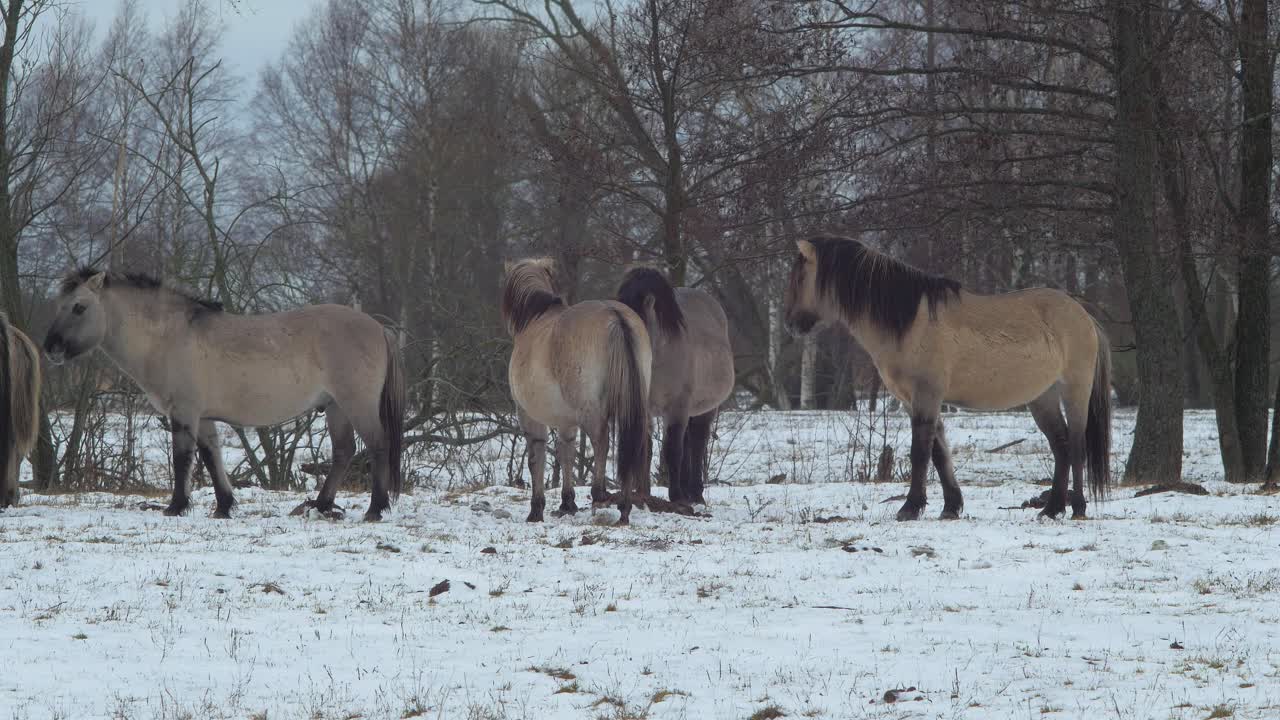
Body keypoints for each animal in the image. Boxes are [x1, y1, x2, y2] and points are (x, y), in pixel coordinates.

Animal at [43, 268, 405, 521]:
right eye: (58, 305)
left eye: (79, 307)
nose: (50, 348)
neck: (168, 336)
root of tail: (378, 327)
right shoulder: (203, 416)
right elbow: (211, 457)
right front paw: (223, 506)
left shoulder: (184, 412)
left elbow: (183, 459)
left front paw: (176, 506)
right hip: (335, 406)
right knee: (344, 451)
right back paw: (321, 505)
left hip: (355, 404)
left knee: (377, 446)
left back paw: (374, 509)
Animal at [502, 258, 651, 525]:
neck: (535, 318)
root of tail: (615, 315)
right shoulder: (566, 422)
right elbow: (567, 454)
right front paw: (567, 503)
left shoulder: (529, 416)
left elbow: (536, 458)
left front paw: (536, 510)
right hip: (635, 405)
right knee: (634, 444)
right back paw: (624, 507)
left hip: (589, 411)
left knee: (601, 440)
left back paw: (600, 493)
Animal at [616, 267, 734, 505]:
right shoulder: (645, 409)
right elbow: (646, 449)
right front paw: (643, 494)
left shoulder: (677, 408)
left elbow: (672, 451)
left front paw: (676, 496)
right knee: (688, 443)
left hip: (705, 409)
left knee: (697, 444)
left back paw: (695, 493)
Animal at [783, 235, 1111, 521]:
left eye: (800, 278)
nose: (790, 325)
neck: (910, 323)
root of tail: (1083, 314)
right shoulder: (912, 401)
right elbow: (939, 452)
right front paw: (950, 507)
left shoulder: (926, 395)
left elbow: (920, 452)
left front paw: (909, 508)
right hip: (1042, 397)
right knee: (1061, 446)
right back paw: (1052, 509)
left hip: (1075, 390)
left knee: (1076, 445)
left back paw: (1078, 507)